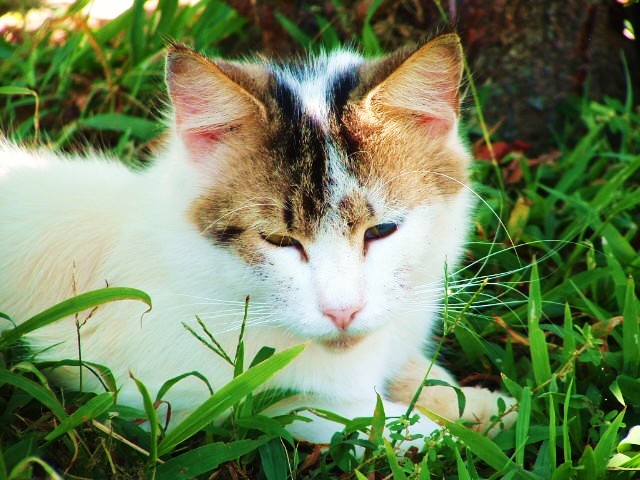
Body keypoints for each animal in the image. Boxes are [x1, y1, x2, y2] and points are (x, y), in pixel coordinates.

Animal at [0, 33, 516, 444]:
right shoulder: (149, 393)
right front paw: (450, 434)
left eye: (382, 230)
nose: (343, 313)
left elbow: (418, 376)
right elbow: (321, 409)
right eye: (278, 241)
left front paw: (480, 404)